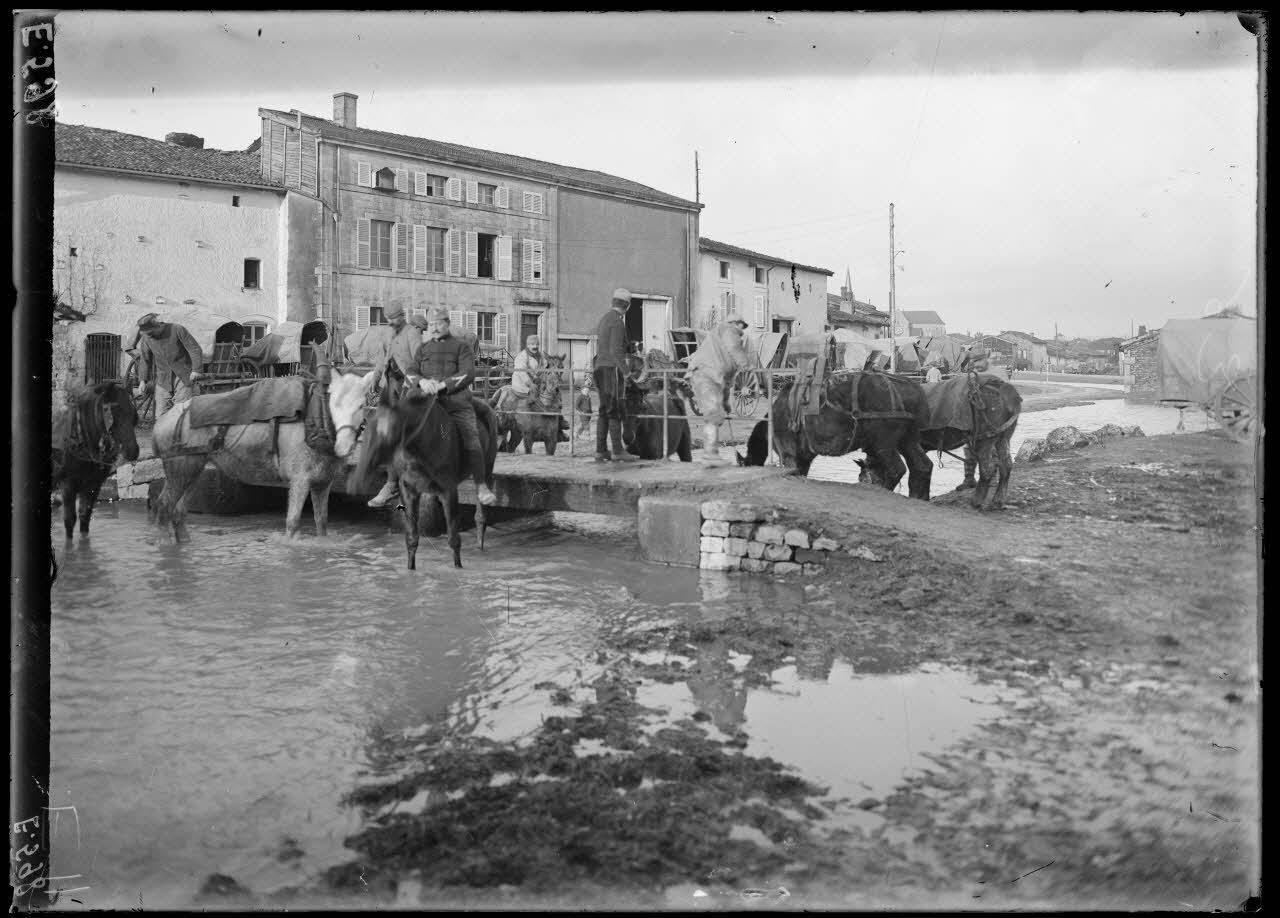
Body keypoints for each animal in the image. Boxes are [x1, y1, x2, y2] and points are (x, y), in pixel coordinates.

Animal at [52, 380, 141, 539]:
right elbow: (69, 520)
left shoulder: (93, 485)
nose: (133, 450)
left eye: (133, 415)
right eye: (113, 413)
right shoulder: (68, 484)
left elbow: (85, 516)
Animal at [149, 363, 376, 542]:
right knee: (163, 507)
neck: (317, 423)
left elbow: (322, 523)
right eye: (332, 401)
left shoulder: (323, 481)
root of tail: (159, 423)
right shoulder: (300, 477)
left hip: (194, 466)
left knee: (178, 511)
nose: (344, 446)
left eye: (362, 405)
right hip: (180, 465)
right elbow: (292, 523)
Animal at [350, 388, 499, 570]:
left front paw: (458, 567)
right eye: (366, 431)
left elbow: (454, 539)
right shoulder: (409, 490)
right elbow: (412, 539)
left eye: (387, 433)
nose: (356, 481)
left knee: (480, 515)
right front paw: (411, 569)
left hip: (489, 463)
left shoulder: (448, 490)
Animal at [741, 372, 933, 499]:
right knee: (922, 466)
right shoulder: (804, 457)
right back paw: (919, 496)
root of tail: (914, 389)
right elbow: (802, 473)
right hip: (908, 438)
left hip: (884, 442)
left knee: (897, 468)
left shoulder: (788, 453)